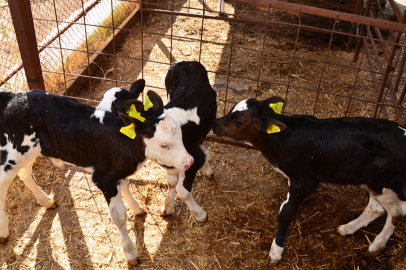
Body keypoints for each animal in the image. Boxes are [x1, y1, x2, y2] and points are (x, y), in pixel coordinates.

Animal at [0, 88, 193, 266]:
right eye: (164, 145)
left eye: (180, 135)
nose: (189, 162)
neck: (122, 141)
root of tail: (11, 96)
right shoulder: (104, 178)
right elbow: (119, 216)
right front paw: (130, 253)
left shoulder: (118, 172)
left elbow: (126, 186)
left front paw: (137, 208)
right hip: (10, 158)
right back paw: (3, 232)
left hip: (29, 153)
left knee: (24, 173)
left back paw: (46, 201)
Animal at [97, 61, 217, 221]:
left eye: (111, 111)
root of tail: (187, 62)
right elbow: (172, 182)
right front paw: (168, 207)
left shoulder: (192, 158)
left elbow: (182, 191)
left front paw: (199, 214)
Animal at [211, 96, 406, 264]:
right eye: (230, 110)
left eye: (238, 122)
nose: (214, 125)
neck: (282, 139)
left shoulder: (304, 181)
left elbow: (286, 212)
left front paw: (276, 251)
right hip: (371, 181)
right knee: (377, 208)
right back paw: (348, 228)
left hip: (382, 182)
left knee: (396, 211)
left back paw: (376, 245)